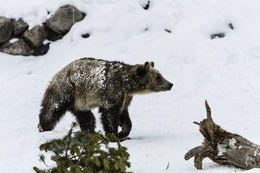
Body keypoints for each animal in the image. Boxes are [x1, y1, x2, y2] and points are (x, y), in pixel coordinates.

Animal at [38, 57, 173, 139]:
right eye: (158, 77)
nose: (170, 84)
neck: (127, 84)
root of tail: (57, 74)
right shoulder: (112, 92)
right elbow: (109, 114)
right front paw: (114, 134)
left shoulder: (125, 98)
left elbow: (124, 116)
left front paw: (123, 133)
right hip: (67, 90)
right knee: (53, 108)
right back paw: (44, 127)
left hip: (79, 103)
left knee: (87, 118)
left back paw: (90, 132)